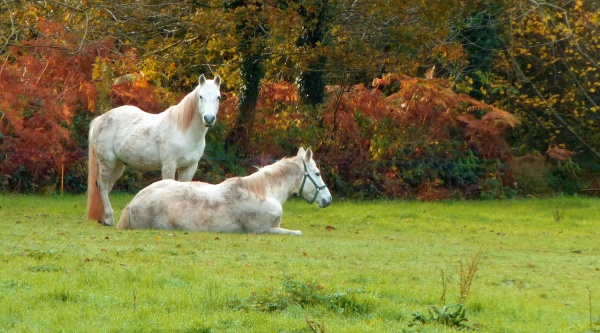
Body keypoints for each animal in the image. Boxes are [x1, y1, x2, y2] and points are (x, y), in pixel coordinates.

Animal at [88, 74, 221, 226]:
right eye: (200, 96)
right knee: (102, 186)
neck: (183, 130)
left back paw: (104, 218)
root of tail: (100, 119)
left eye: (218, 97)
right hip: (107, 162)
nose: (209, 119)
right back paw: (109, 219)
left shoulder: (190, 167)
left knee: (107, 186)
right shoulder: (169, 165)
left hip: (118, 165)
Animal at [117, 147, 332, 235]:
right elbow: (297, 232)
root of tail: (132, 203)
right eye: (317, 173)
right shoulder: (265, 230)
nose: (328, 199)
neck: (263, 193)